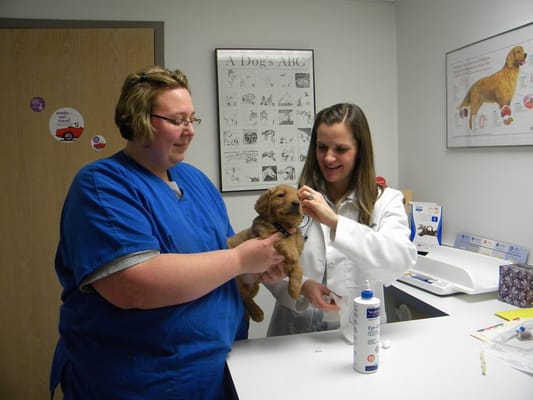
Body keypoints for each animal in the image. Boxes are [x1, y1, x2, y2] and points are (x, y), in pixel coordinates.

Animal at [228, 184, 304, 322]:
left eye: (300, 198)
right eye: (281, 195)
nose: (297, 203)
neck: (284, 225)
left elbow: (298, 269)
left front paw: (295, 291)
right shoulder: (268, 235)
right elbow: (285, 238)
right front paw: (291, 250)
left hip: (255, 287)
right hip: (238, 283)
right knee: (246, 298)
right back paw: (257, 313)